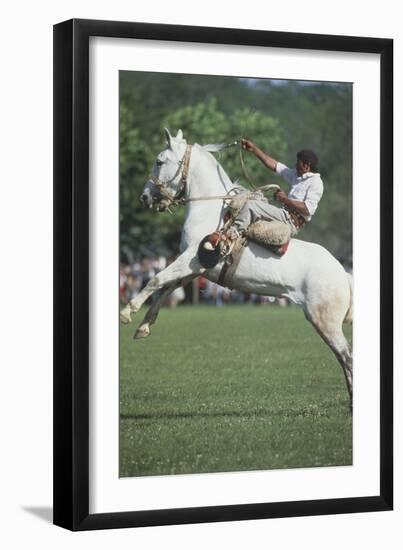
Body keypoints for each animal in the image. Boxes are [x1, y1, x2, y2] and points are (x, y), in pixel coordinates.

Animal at [120, 129, 354, 406]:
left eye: (159, 161)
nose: (145, 197)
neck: (211, 213)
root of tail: (343, 274)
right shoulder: (197, 269)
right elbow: (165, 288)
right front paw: (144, 326)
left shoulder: (191, 260)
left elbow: (156, 280)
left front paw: (127, 312)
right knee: (344, 358)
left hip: (324, 321)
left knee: (348, 357)